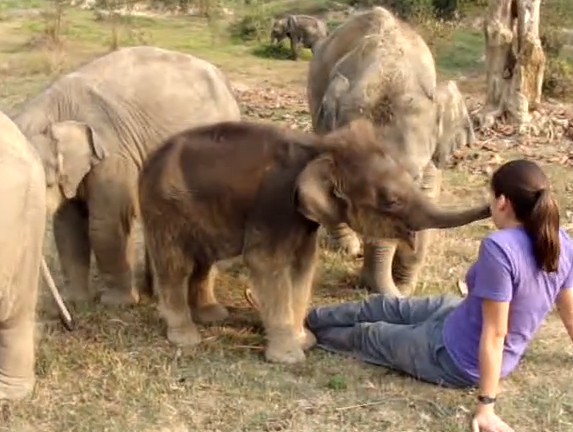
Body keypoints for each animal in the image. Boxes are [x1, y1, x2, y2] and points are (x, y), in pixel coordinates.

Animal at [10, 46, 241, 318]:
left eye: (44, 184)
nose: (68, 322)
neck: (54, 108)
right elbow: (68, 223)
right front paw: (76, 300)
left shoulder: (113, 155)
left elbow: (108, 222)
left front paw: (117, 304)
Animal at [137, 118, 488, 364]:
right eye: (390, 201)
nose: (493, 200)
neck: (320, 147)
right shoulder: (274, 203)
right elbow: (266, 263)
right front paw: (289, 358)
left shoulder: (301, 219)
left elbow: (303, 266)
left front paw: (303, 341)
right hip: (164, 211)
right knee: (177, 265)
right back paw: (185, 337)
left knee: (202, 261)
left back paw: (213, 316)